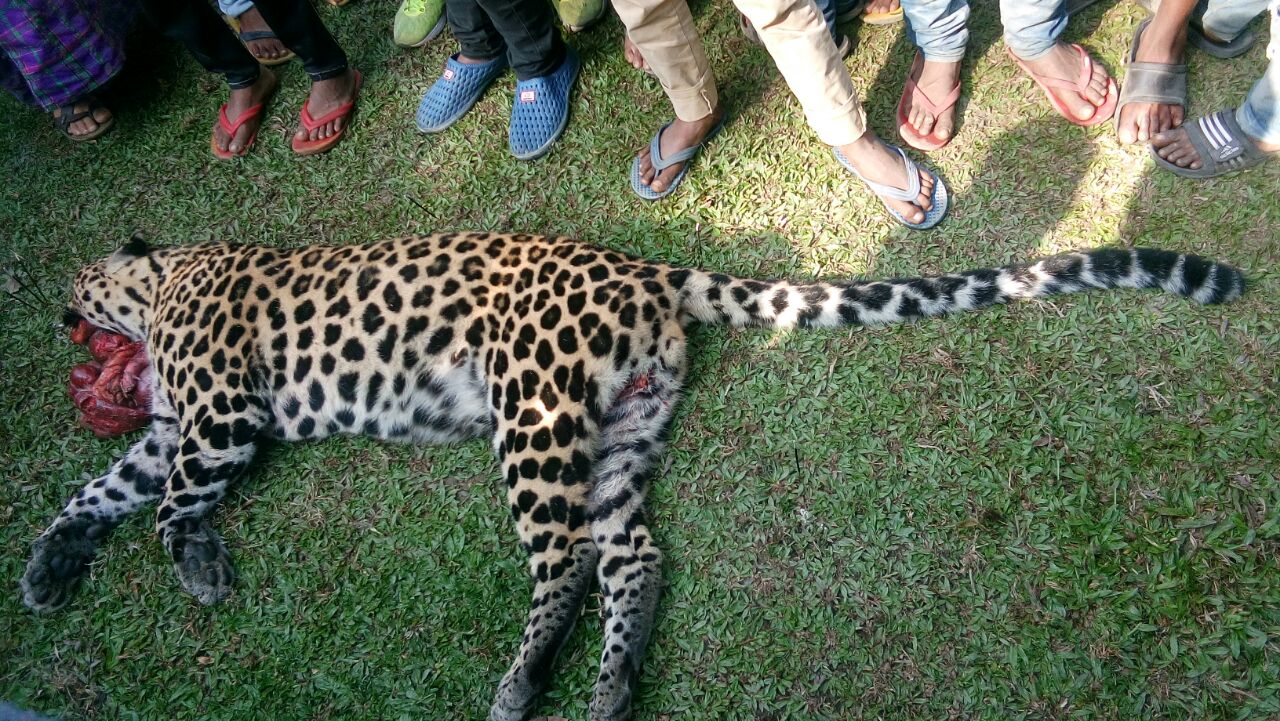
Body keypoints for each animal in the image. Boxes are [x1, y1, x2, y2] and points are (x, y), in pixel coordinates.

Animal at [21, 231, 1243, 721]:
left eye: (76, 293)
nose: (58, 322)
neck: (170, 279)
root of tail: (636, 263)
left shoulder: (220, 412)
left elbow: (171, 499)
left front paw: (196, 564)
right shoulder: (170, 425)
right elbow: (102, 490)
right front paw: (47, 567)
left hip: (532, 414)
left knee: (562, 559)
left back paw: (524, 683)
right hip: (619, 432)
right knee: (634, 551)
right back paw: (610, 683)